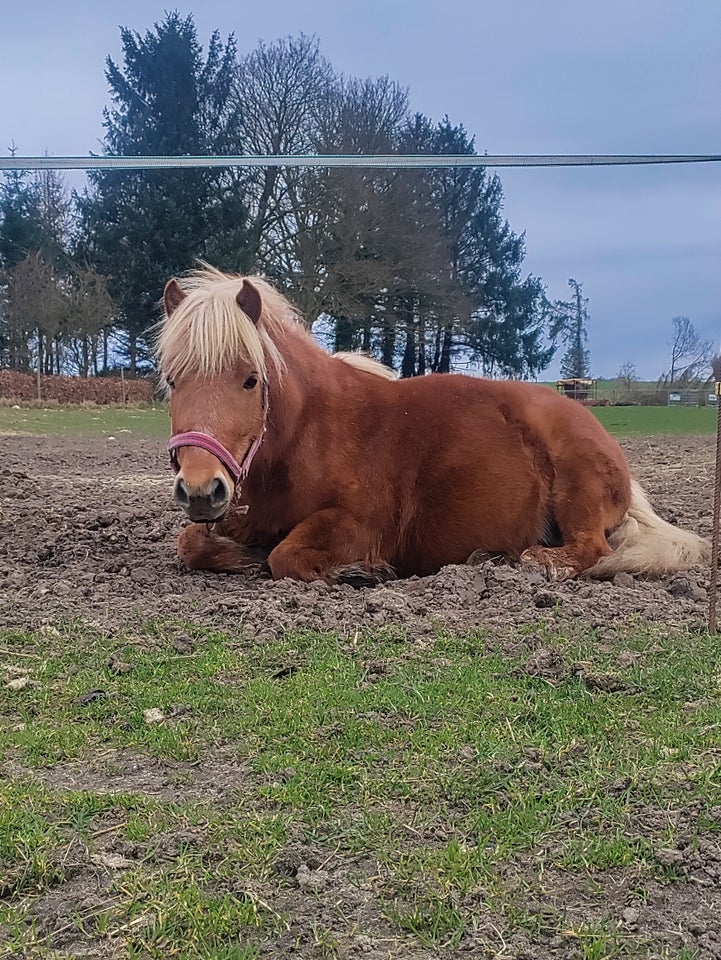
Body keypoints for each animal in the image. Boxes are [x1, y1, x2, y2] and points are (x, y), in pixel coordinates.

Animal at [156, 266, 708, 580]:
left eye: (251, 380)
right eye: (172, 379)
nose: (202, 489)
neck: (308, 436)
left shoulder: (361, 523)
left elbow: (287, 557)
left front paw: (357, 572)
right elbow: (192, 543)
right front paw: (237, 554)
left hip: (578, 491)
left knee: (591, 547)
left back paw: (527, 562)